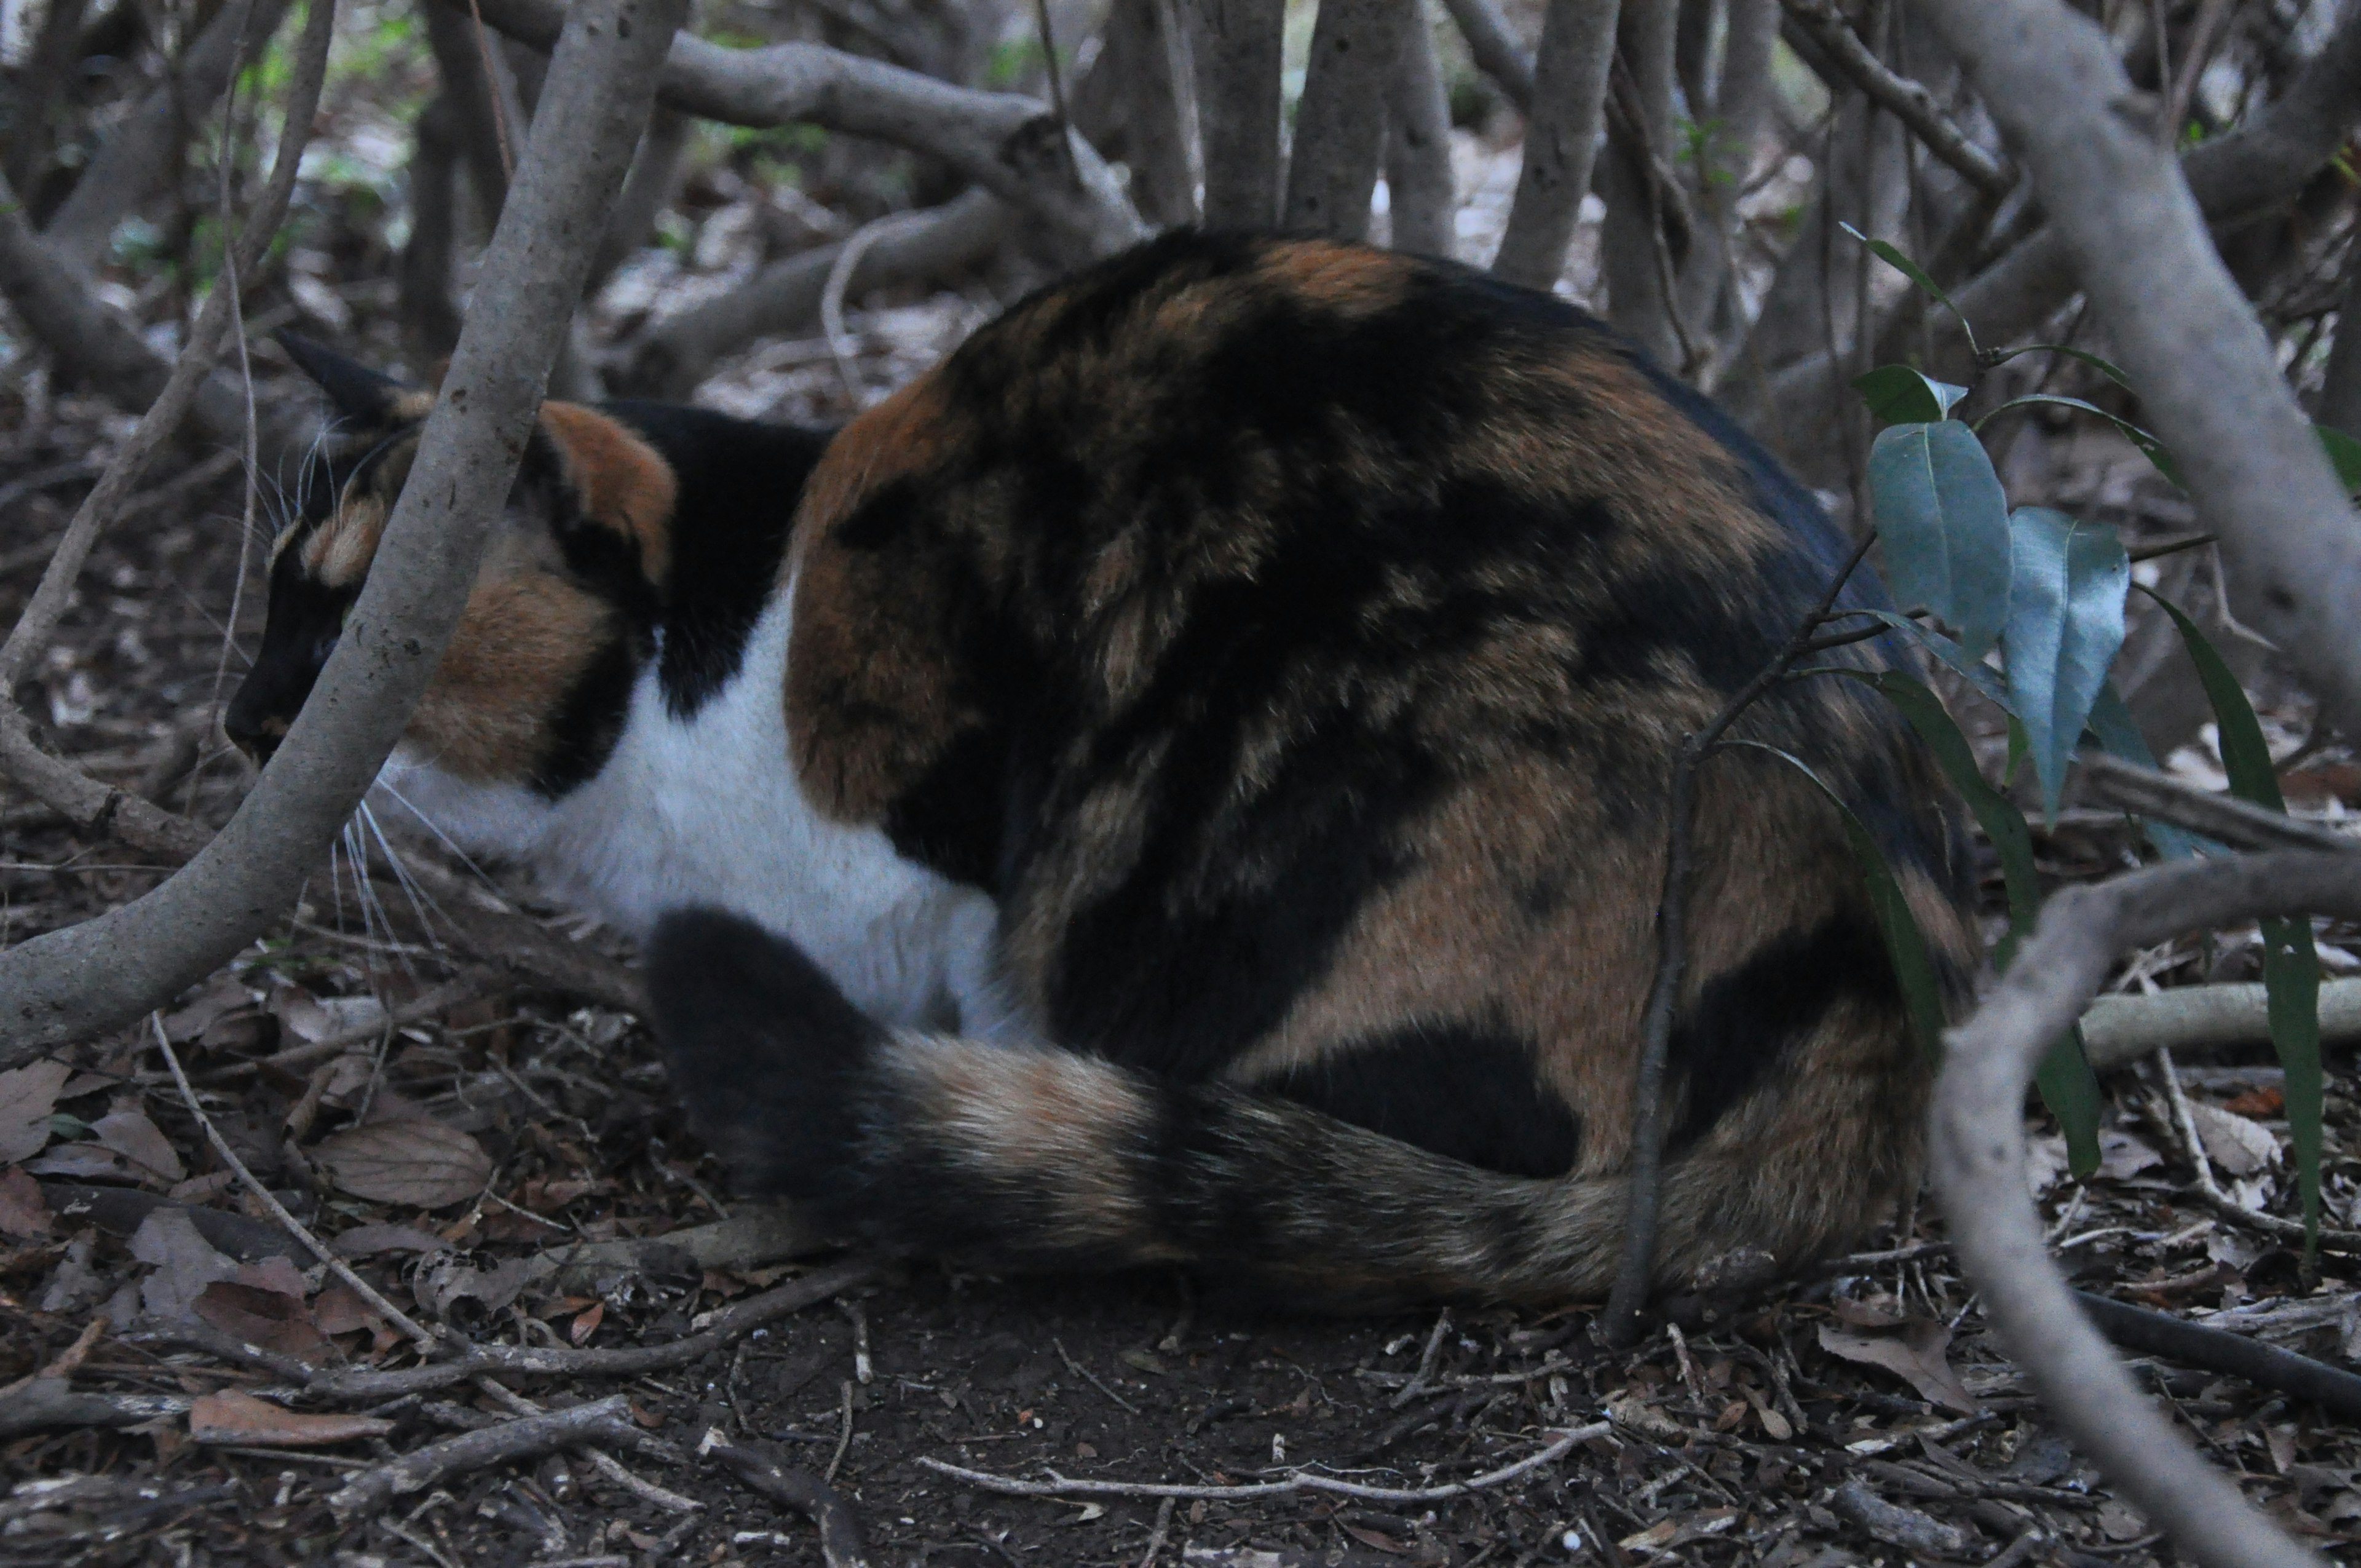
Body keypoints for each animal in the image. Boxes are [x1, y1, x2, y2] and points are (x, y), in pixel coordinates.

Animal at [235, 230, 1974, 1313]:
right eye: (273, 594)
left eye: (356, 626)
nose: (248, 722)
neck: (709, 651)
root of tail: (1880, 998)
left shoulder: (928, 830)